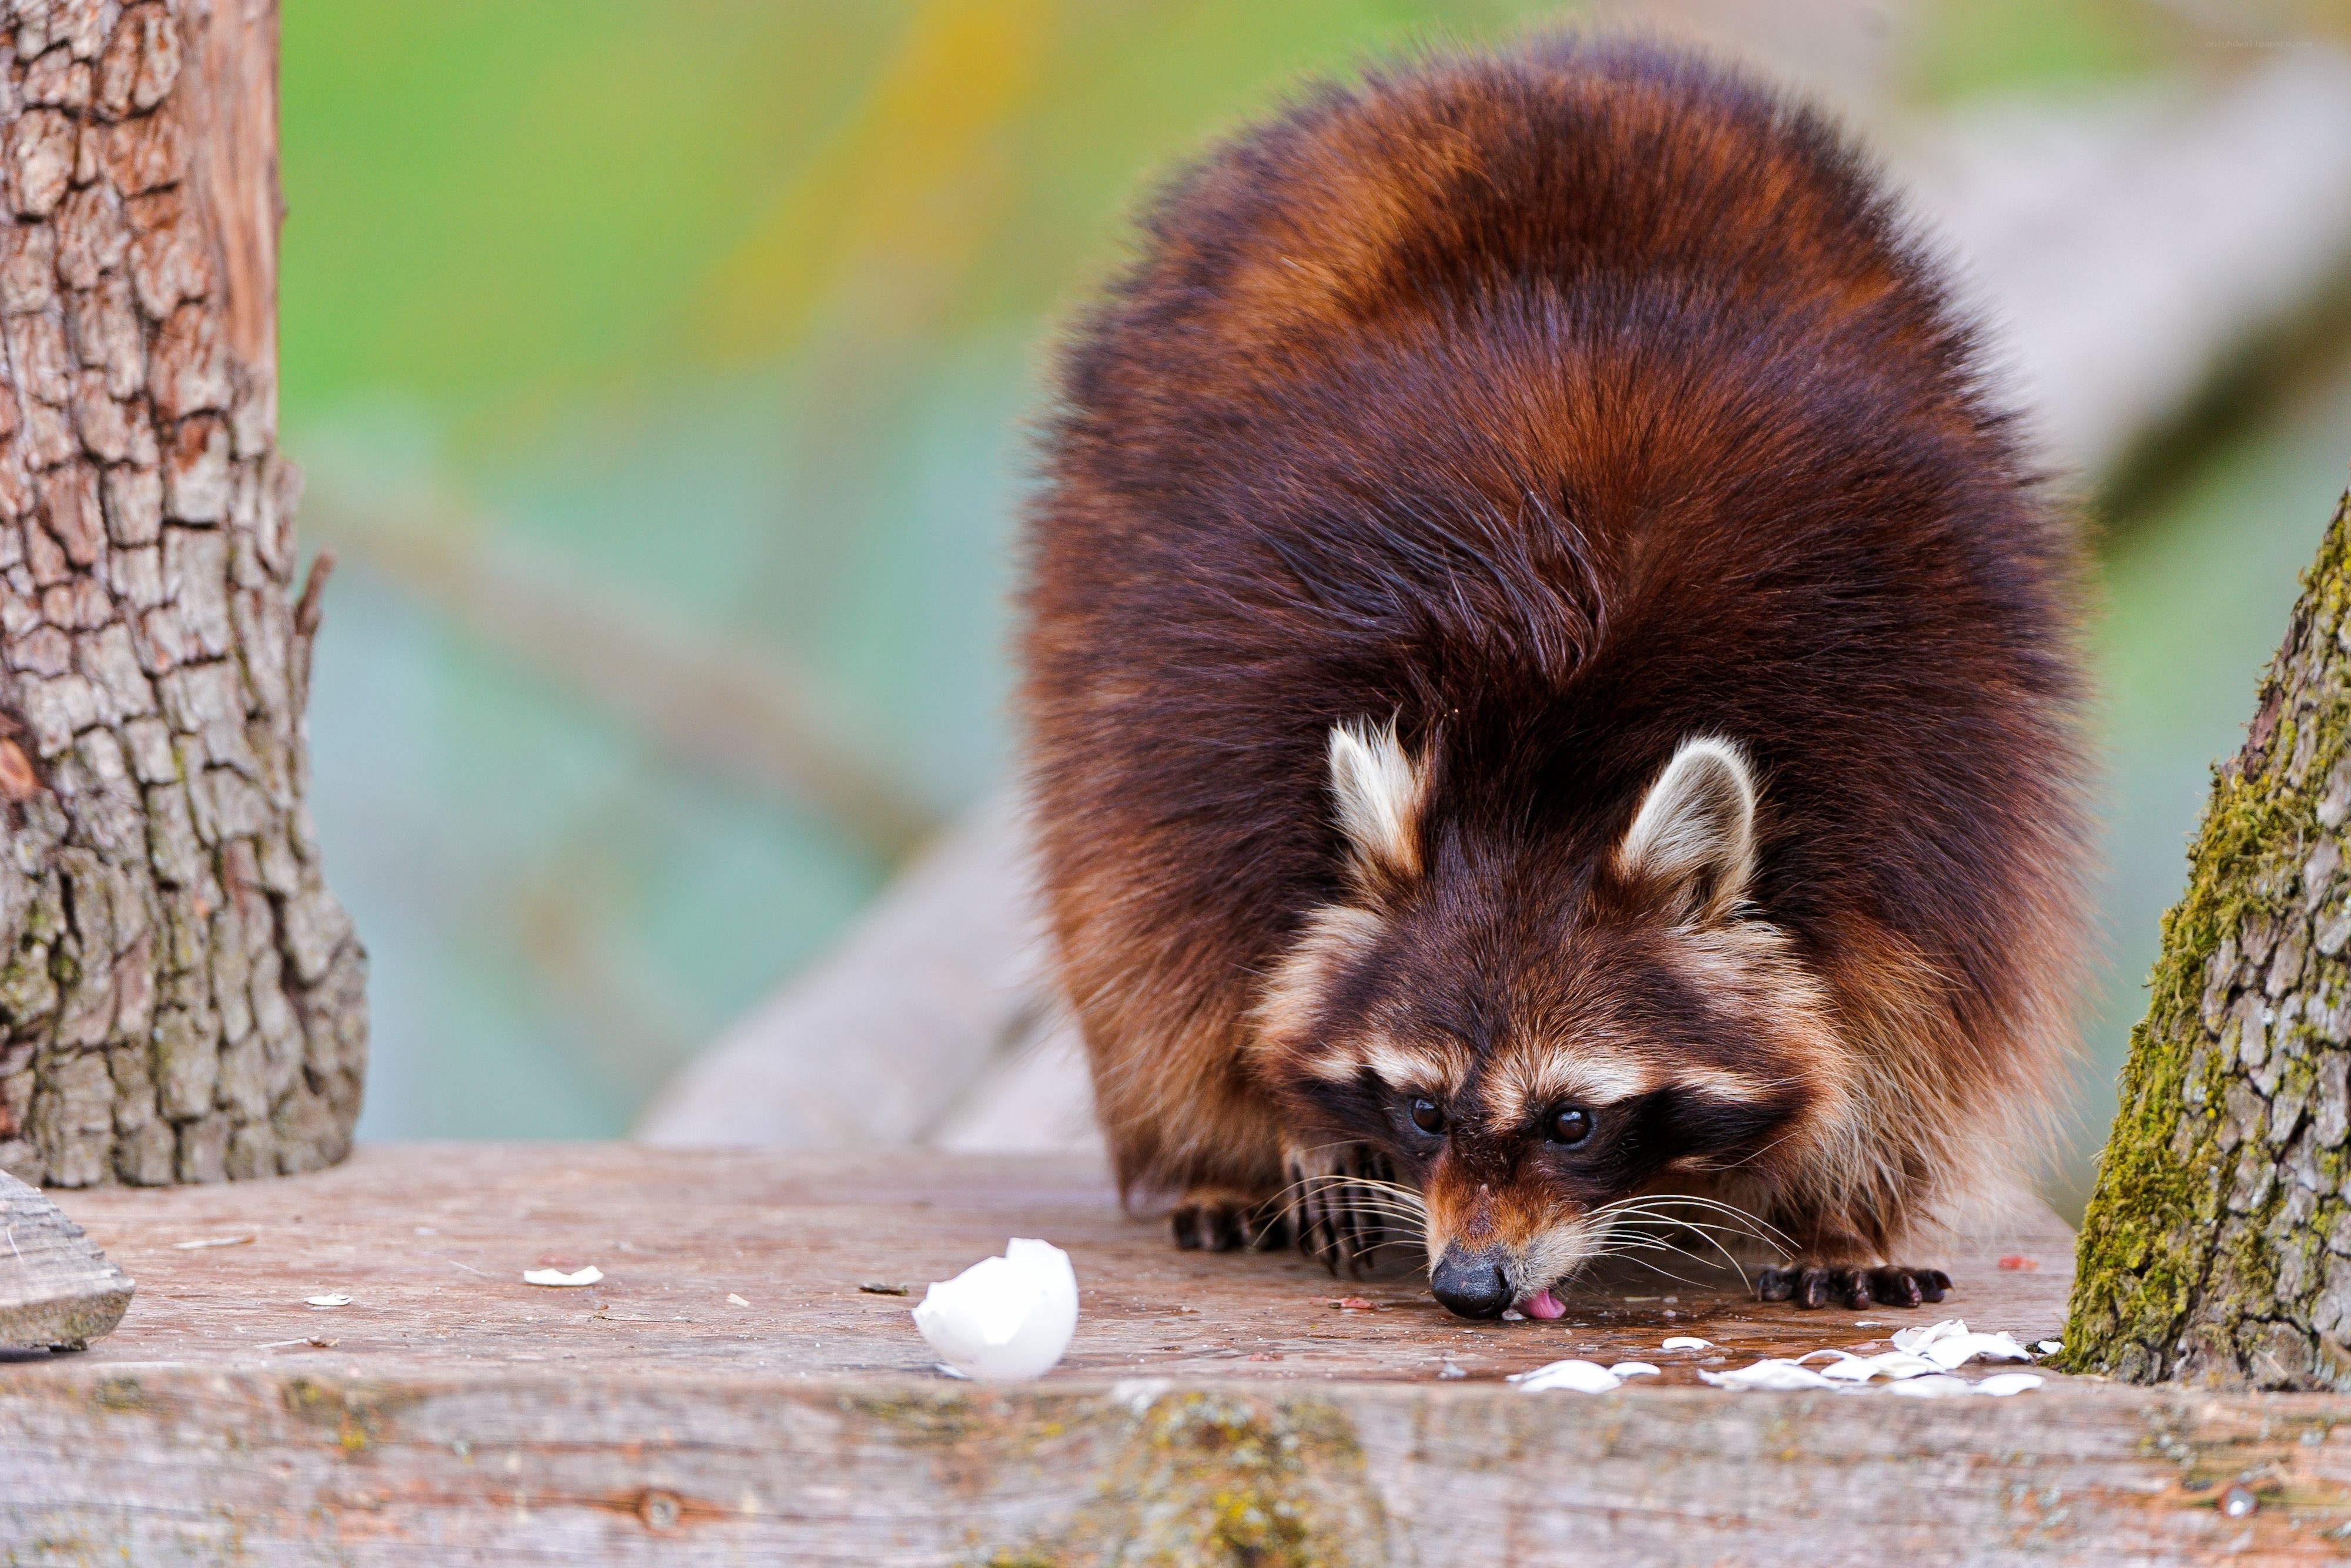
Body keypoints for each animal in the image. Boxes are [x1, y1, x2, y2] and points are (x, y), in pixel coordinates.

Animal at [1017, 37, 2088, 1316]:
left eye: (1572, 1120)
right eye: (1424, 1107)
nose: (1471, 1284)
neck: (1542, 774)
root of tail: (1531, 66)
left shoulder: (1916, 730)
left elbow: (1918, 992)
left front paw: (1844, 1198)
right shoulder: (1220, 695)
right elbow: (1192, 932)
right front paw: (1297, 1130)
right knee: (1123, 933)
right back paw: (1217, 1157)